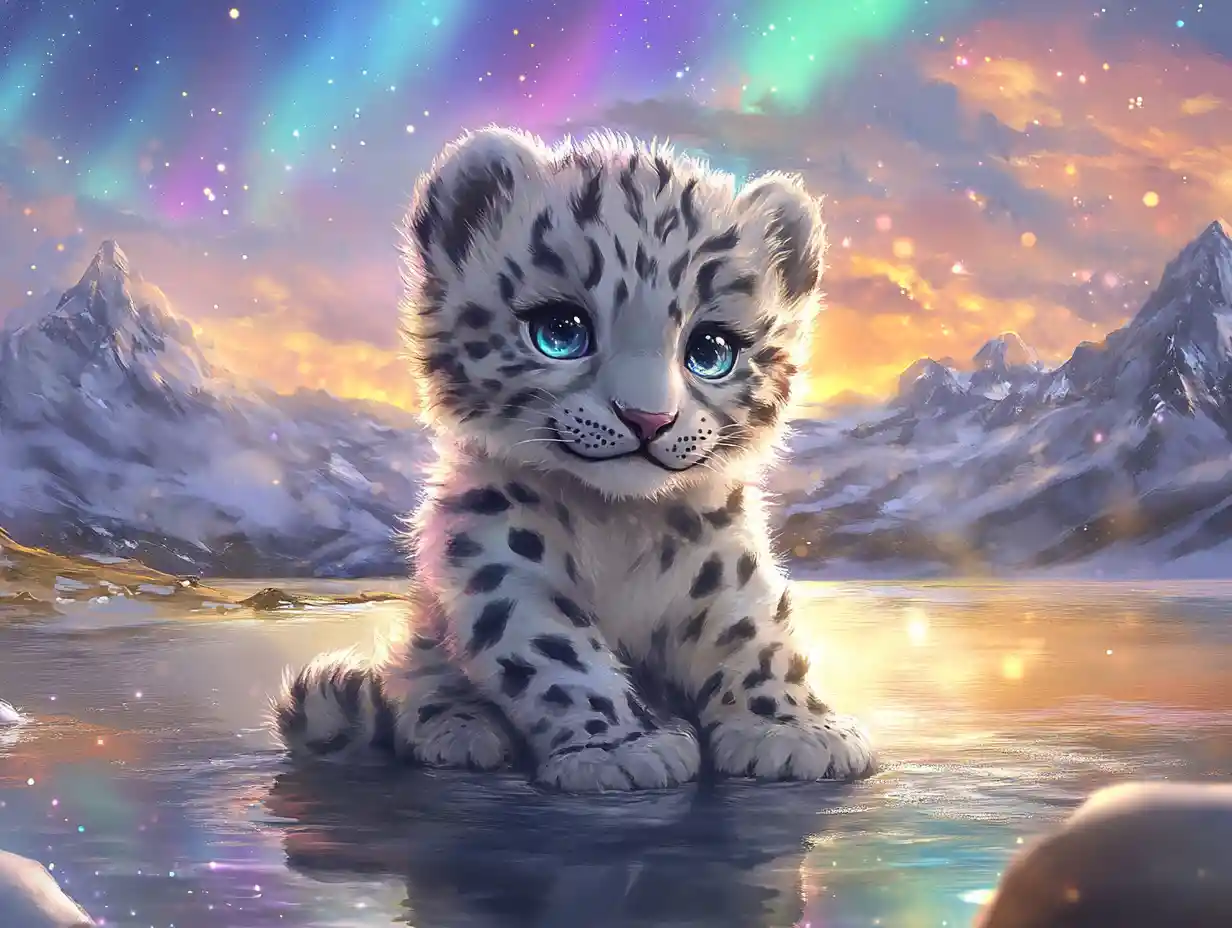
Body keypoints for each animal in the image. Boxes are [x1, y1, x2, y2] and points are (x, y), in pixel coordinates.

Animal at [270, 126, 875, 792]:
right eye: (560, 331)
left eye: (712, 350)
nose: (647, 419)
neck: (619, 521)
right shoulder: (501, 561)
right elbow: (558, 653)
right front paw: (622, 748)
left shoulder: (724, 561)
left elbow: (752, 635)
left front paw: (792, 731)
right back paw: (459, 728)